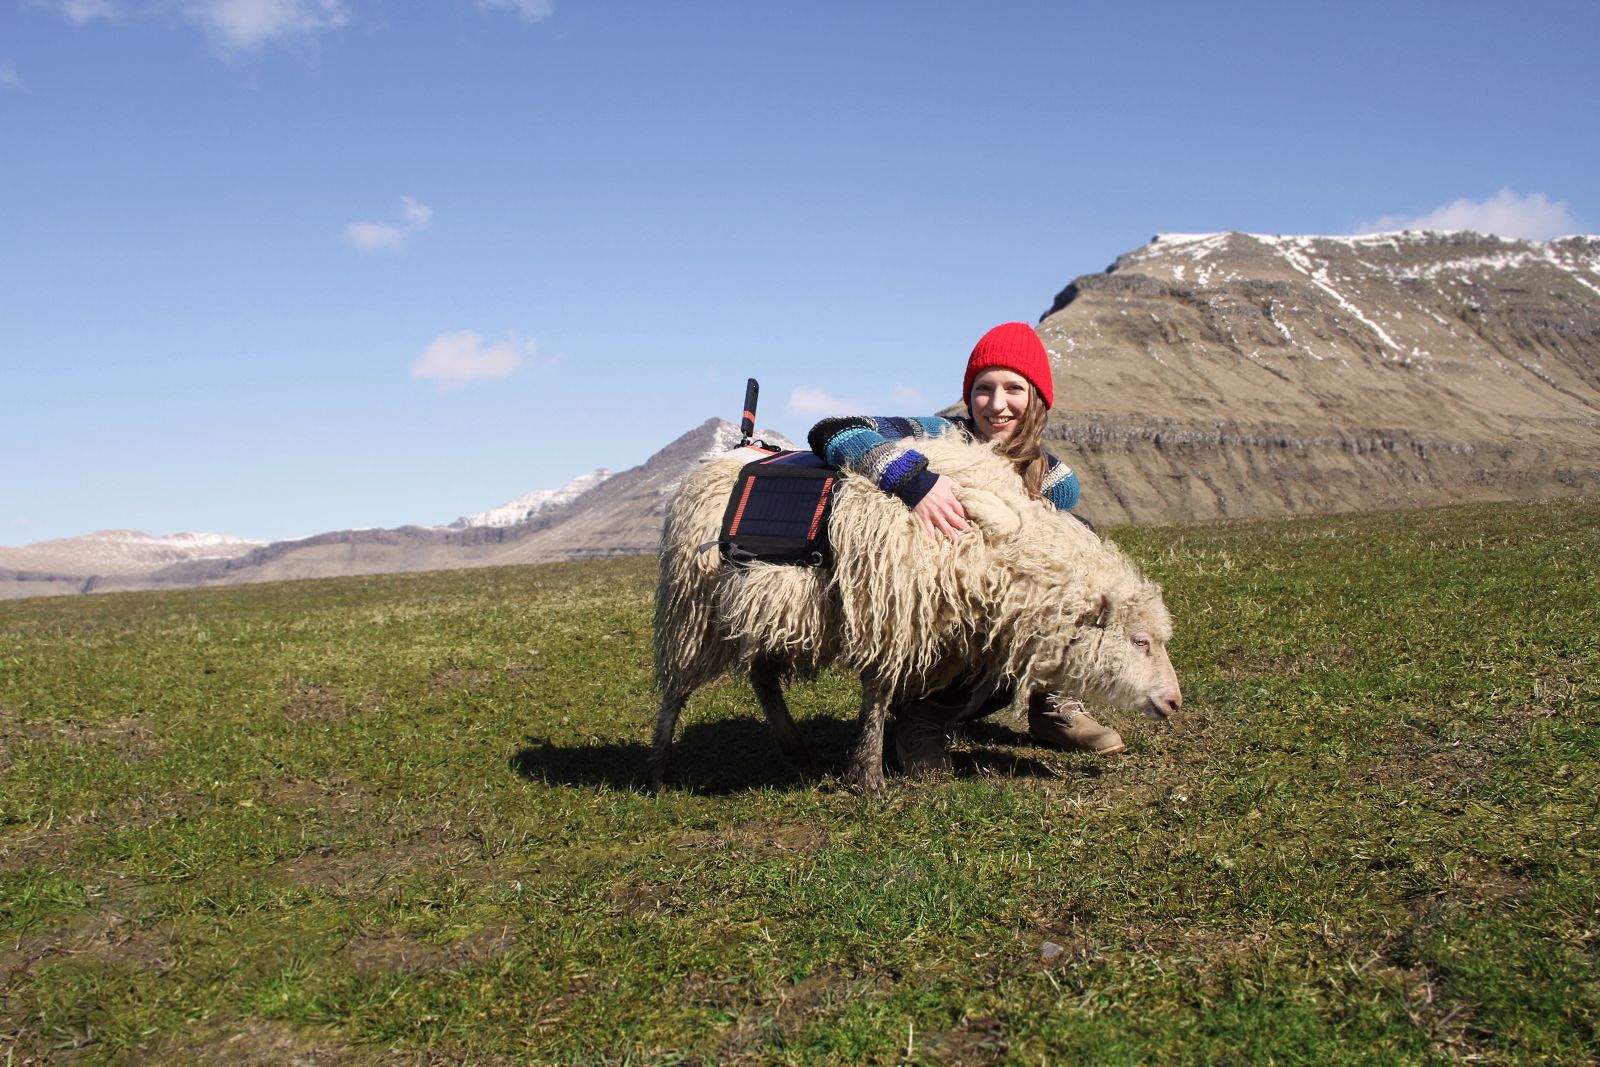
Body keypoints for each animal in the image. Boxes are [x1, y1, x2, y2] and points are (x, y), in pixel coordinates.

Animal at [651, 435, 1182, 792]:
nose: (1175, 701)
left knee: (762, 677)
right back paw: (659, 763)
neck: (995, 548)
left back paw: (793, 746)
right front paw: (867, 776)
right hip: (691, 609)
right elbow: (879, 692)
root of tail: (707, 466)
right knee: (676, 691)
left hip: (766, 606)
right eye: (1140, 642)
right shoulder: (892, 612)